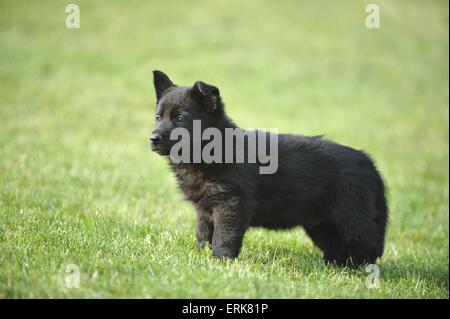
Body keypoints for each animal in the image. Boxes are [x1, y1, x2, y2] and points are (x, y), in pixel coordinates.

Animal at [150, 70, 386, 268]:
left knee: (365, 245)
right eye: (158, 117)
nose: (153, 138)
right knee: (336, 246)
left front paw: (221, 261)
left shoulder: (231, 205)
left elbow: (223, 236)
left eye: (180, 118)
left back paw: (360, 270)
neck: (212, 150)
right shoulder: (204, 208)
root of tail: (368, 161)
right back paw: (332, 266)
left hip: (351, 219)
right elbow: (203, 233)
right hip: (320, 224)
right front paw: (200, 257)